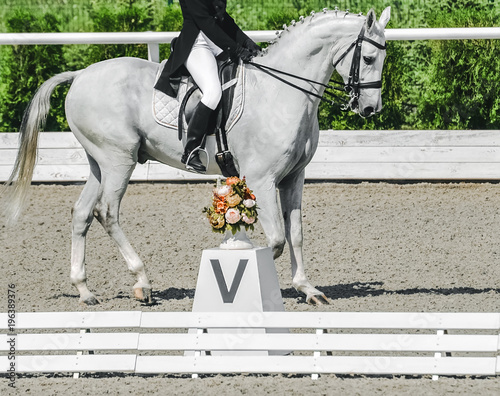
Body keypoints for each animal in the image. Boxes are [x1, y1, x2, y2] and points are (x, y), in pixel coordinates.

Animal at [3, 7, 390, 304]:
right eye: (369, 57)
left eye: (384, 58)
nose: (370, 109)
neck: (282, 91)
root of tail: (81, 74)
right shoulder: (262, 179)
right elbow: (275, 241)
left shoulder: (293, 179)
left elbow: (295, 235)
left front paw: (307, 289)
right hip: (118, 160)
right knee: (106, 212)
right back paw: (142, 283)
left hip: (99, 163)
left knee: (82, 213)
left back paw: (84, 290)